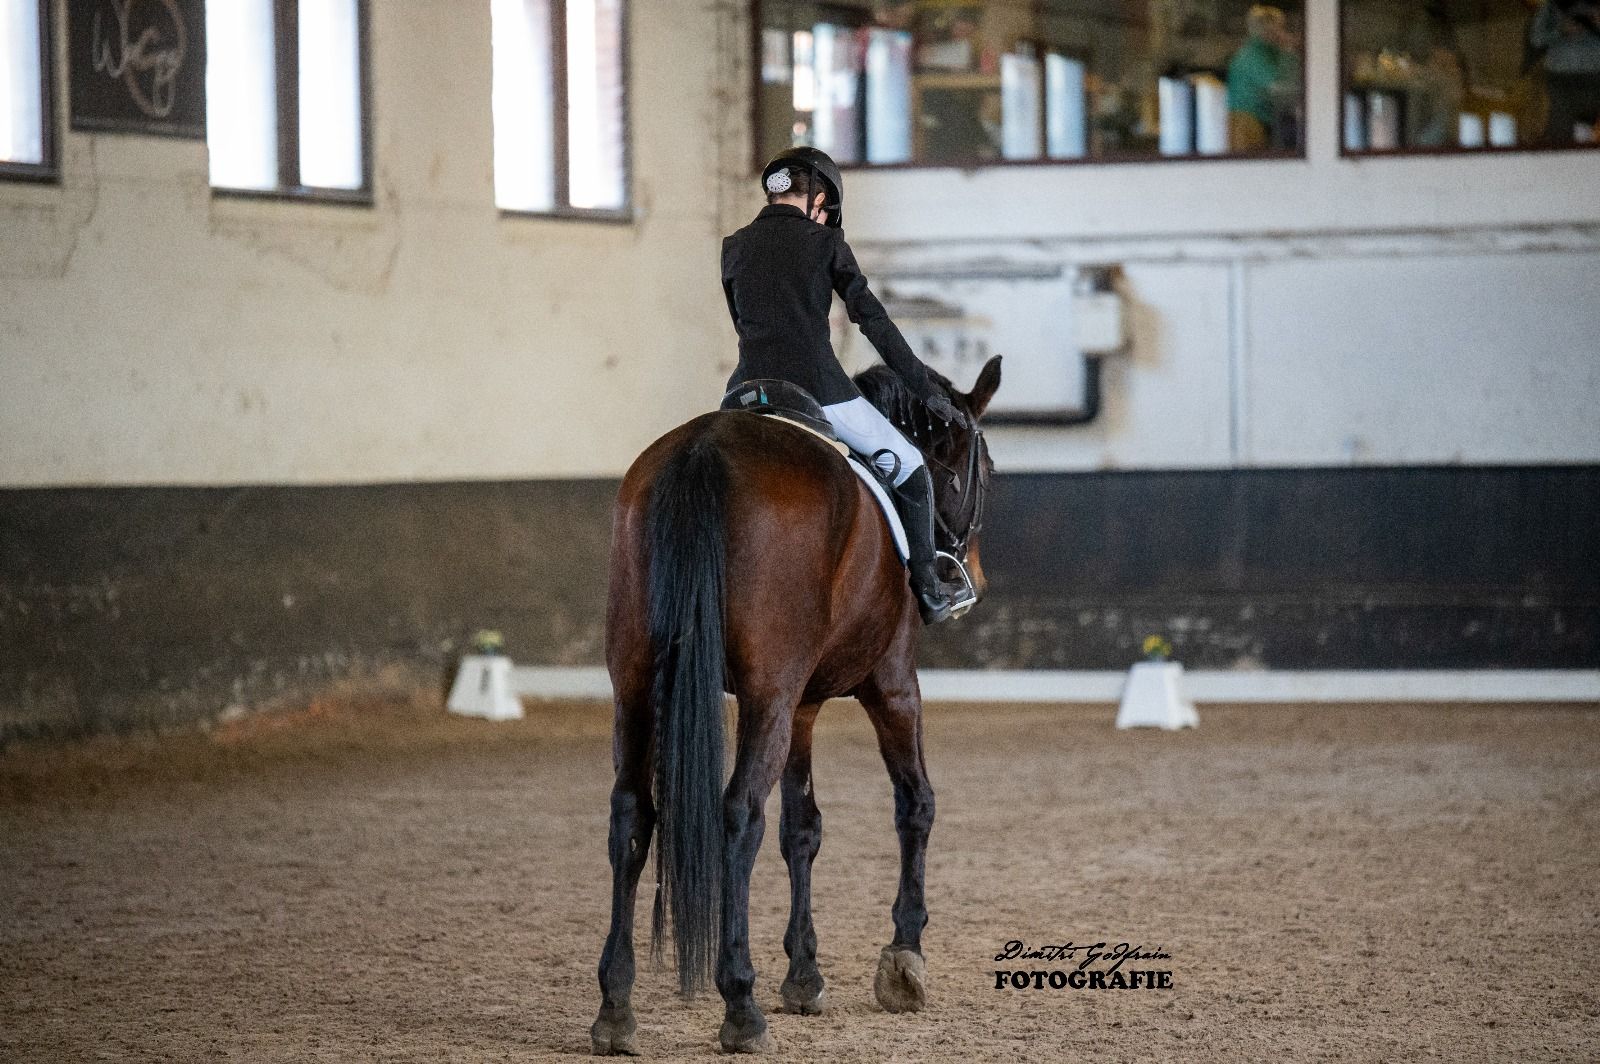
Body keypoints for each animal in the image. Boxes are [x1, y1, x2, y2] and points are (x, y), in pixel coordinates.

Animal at [590, 355, 1001, 1055]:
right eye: (986, 468)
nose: (964, 572)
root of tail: (702, 450)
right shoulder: (892, 683)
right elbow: (915, 804)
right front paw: (903, 959)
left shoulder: (802, 707)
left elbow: (802, 828)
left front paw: (805, 974)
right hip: (768, 696)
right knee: (737, 816)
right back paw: (740, 1005)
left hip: (640, 688)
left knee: (631, 815)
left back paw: (616, 1008)